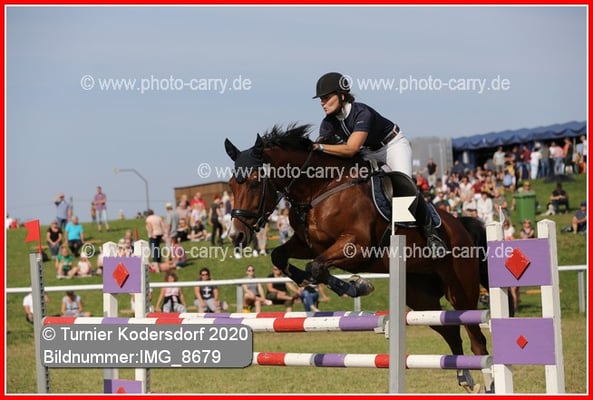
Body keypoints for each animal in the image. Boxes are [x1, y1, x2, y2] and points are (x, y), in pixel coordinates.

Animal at [224, 124, 492, 392]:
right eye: (231, 185)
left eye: (254, 183)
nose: (236, 235)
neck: (319, 189)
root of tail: (462, 225)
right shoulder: (308, 244)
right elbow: (283, 257)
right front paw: (317, 282)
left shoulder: (356, 247)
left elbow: (317, 266)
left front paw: (359, 286)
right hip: (420, 298)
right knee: (451, 333)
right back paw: (466, 379)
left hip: (460, 291)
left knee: (476, 339)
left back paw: (488, 383)